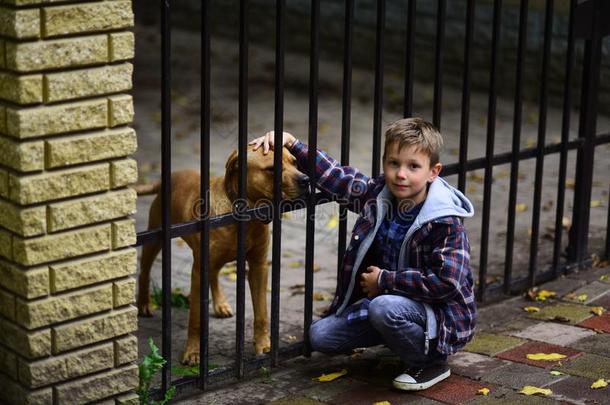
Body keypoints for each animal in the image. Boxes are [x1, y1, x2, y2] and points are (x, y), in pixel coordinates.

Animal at [138, 147, 308, 364]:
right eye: (271, 169)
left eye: (295, 162)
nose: (306, 179)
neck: (245, 213)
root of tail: (167, 179)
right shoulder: (199, 271)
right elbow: (195, 319)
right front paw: (193, 351)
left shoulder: (259, 266)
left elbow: (262, 314)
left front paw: (264, 345)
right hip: (155, 239)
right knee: (144, 271)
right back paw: (144, 303)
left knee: (215, 275)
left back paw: (220, 304)